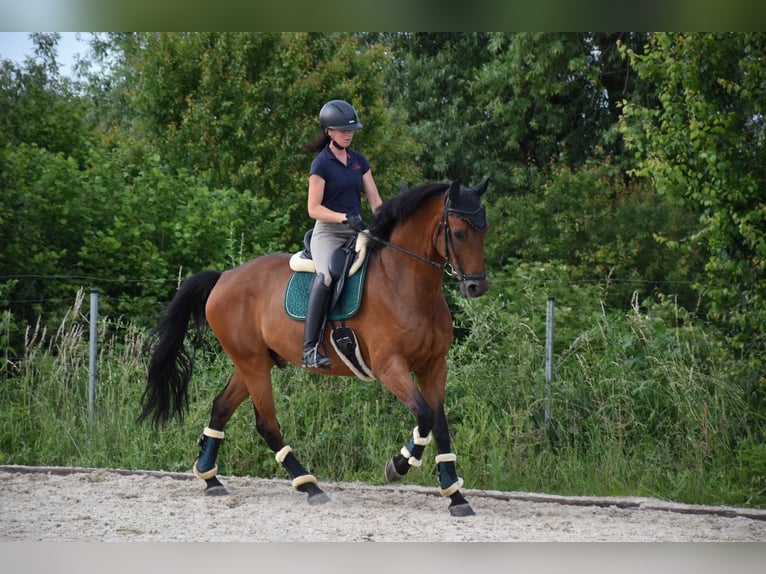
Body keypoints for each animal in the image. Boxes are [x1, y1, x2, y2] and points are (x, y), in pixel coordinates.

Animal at [138, 179, 492, 516]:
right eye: (458, 233)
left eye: (483, 231)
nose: (477, 286)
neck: (406, 284)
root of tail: (224, 277)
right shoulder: (389, 366)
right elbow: (424, 415)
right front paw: (398, 465)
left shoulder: (434, 365)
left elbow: (439, 425)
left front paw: (455, 495)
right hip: (252, 363)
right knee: (266, 424)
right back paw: (309, 486)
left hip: (253, 362)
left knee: (222, 406)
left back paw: (210, 478)